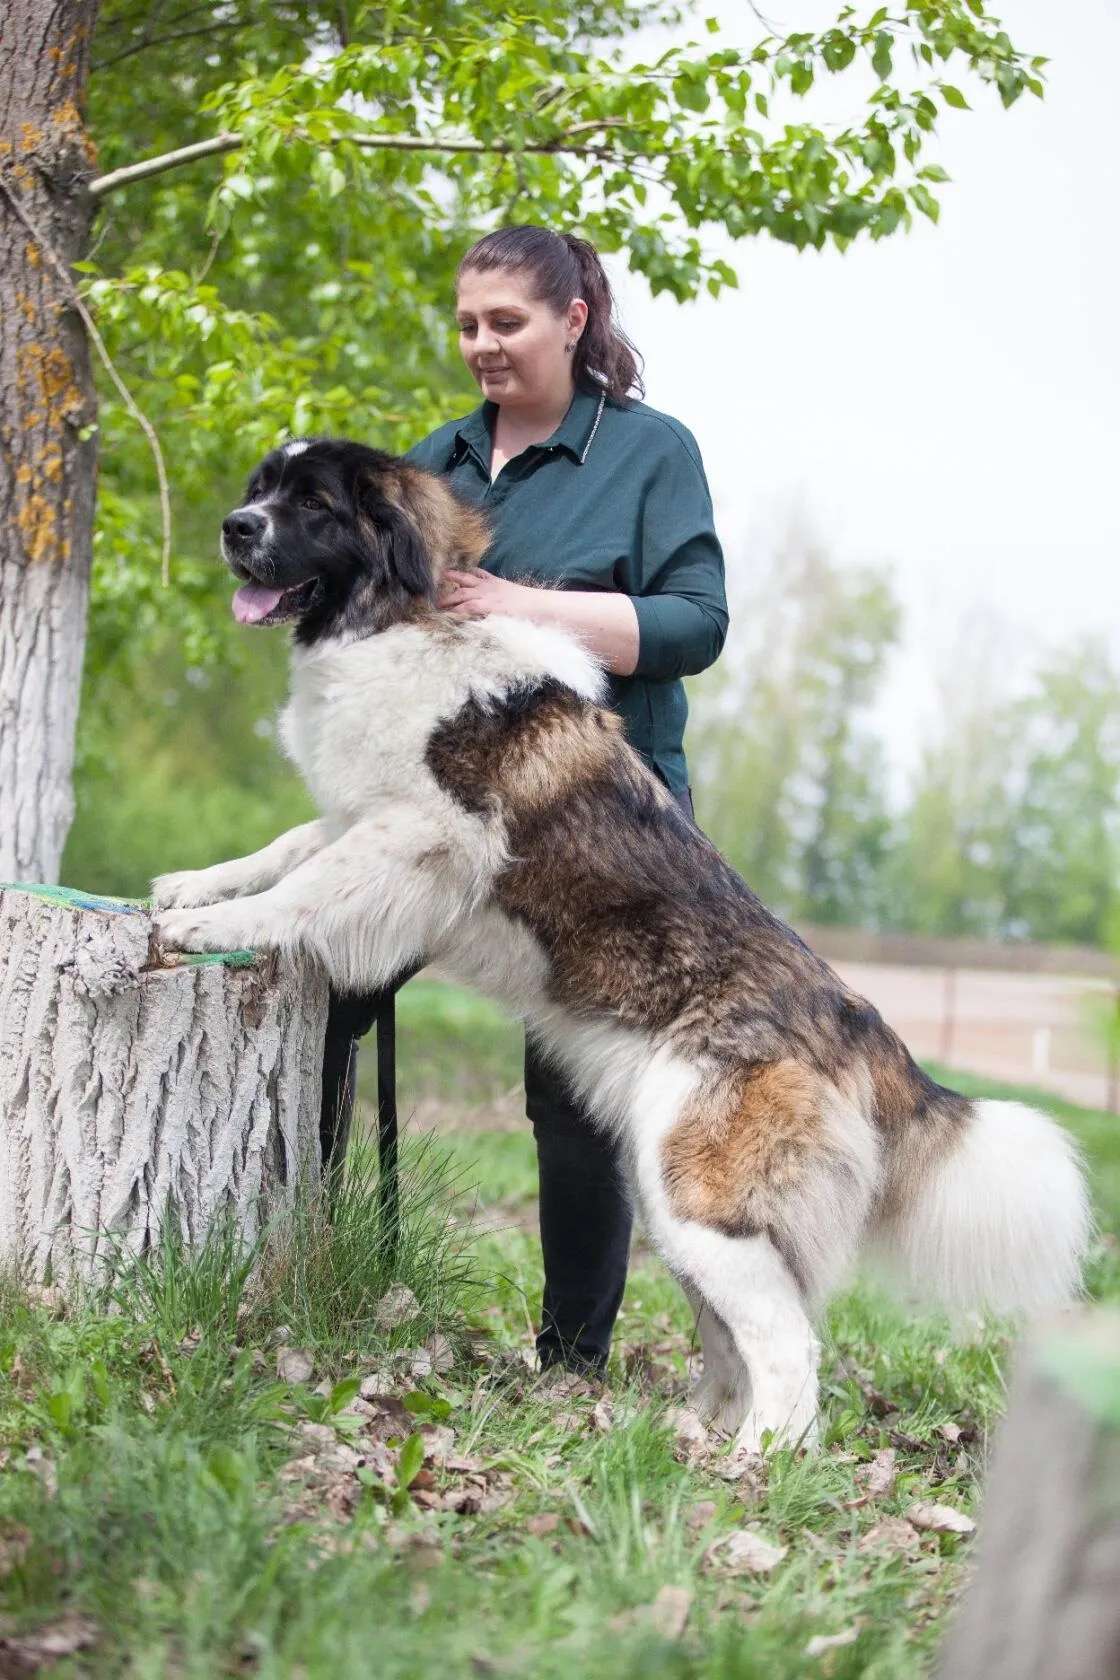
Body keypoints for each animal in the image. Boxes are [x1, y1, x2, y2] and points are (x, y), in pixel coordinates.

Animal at [154, 435, 1092, 1455]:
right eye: (261, 491)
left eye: (314, 505)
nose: (235, 528)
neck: (400, 621)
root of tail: (858, 1020)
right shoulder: (365, 819)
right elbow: (285, 848)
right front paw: (194, 885)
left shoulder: (423, 832)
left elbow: (307, 885)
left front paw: (214, 927)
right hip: (667, 1192)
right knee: (735, 1335)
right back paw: (701, 1434)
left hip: (699, 1193)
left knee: (789, 1343)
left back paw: (752, 1465)